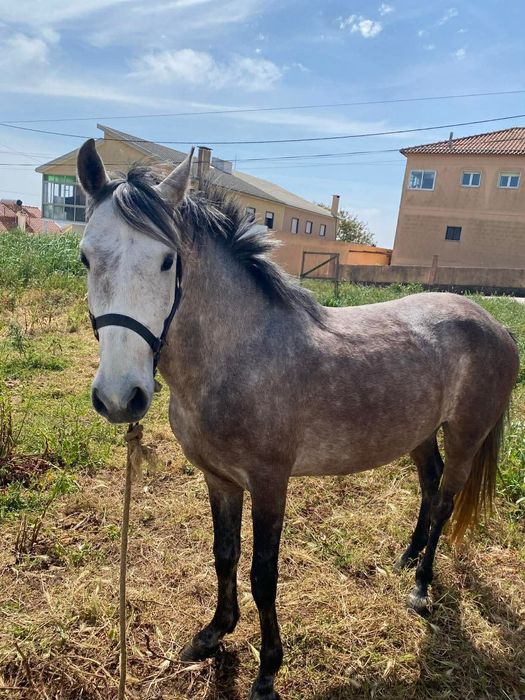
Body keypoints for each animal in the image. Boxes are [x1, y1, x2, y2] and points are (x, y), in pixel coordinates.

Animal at [77, 139, 519, 700]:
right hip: (419, 434)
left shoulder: (270, 483)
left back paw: (421, 586)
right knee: (429, 483)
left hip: (465, 435)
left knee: (443, 500)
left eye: (166, 260)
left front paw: (267, 670)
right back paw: (406, 558)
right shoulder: (220, 480)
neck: (241, 354)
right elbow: (224, 555)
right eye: (85, 257)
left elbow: (263, 575)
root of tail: (495, 324)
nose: (120, 397)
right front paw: (213, 634)